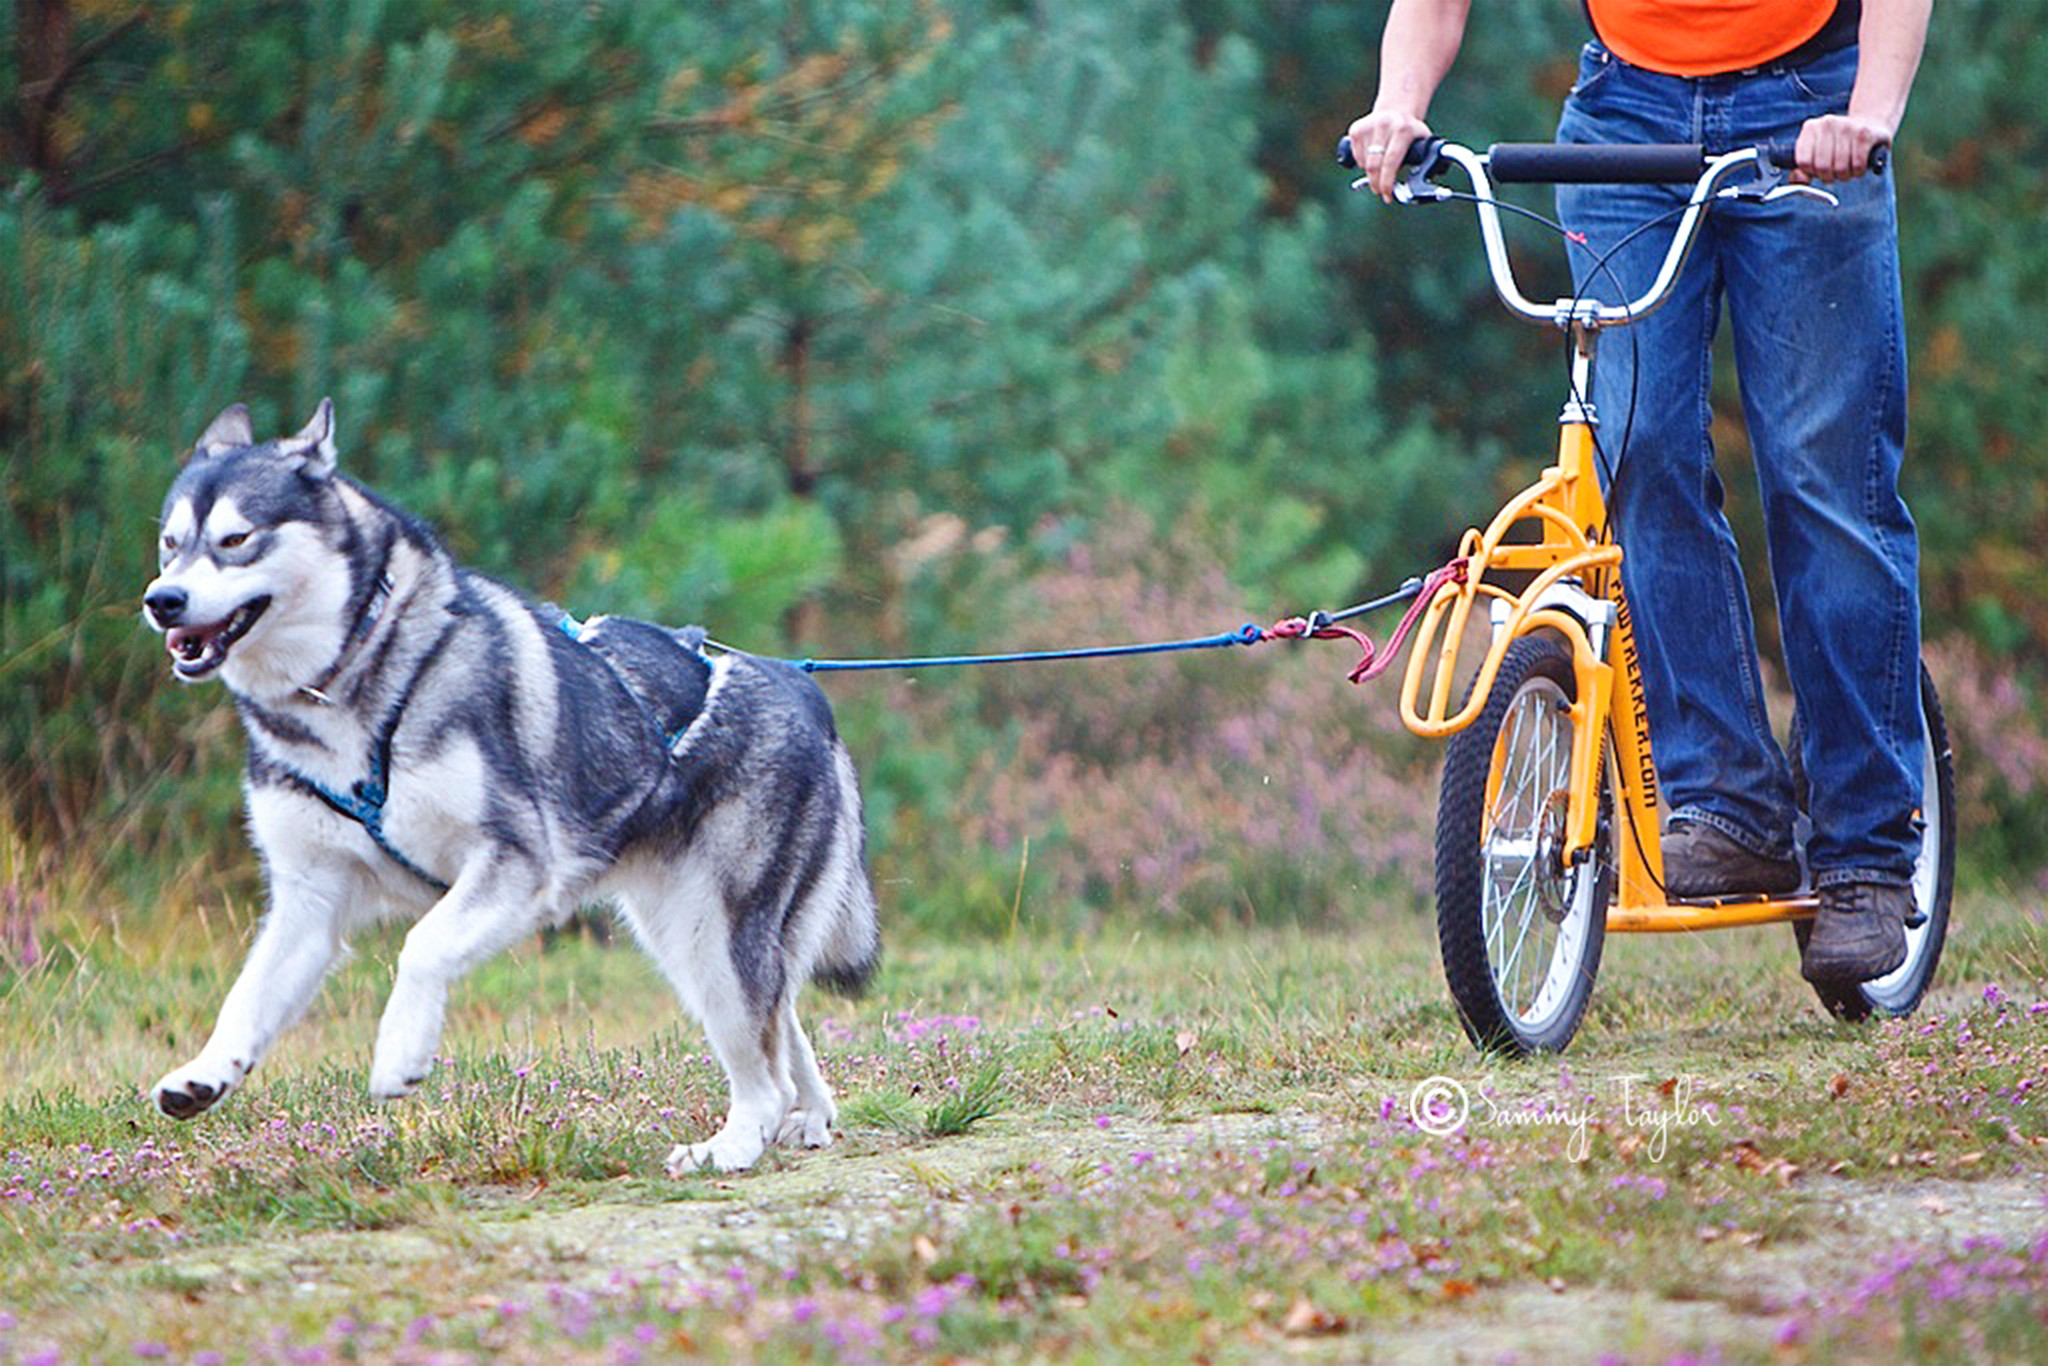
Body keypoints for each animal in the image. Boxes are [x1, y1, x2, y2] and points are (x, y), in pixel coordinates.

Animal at [142, 397, 880, 1179]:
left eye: (236, 539)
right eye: (169, 544)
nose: (162, 600)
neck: (349, 694)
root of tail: (801, 687)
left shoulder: (516, 864)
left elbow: (422, 946)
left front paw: (400, 1051)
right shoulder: (309, 899)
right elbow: (246, 999)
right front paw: (206, 1073)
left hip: (713, 927)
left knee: (764, 1063)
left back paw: (735, 1144)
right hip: (688, 937)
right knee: (781, 1022)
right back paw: (807, 1115)